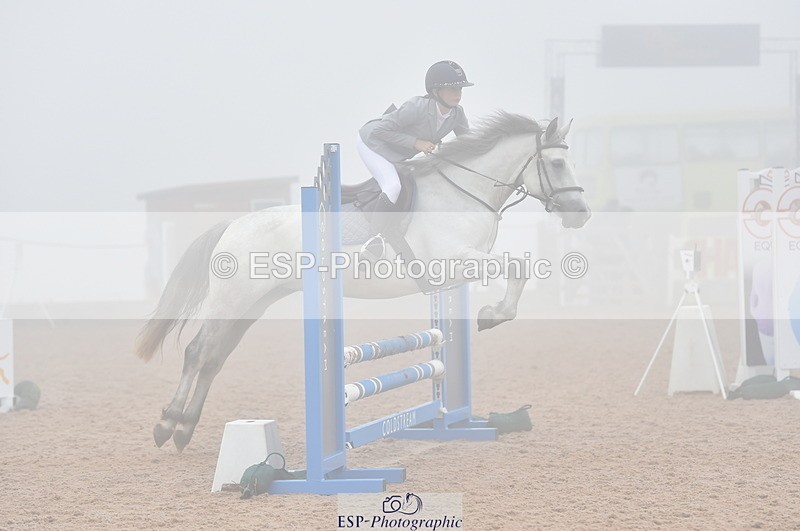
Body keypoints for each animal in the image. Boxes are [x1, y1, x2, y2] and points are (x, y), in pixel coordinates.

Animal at [135, 112, 591, 451]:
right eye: (556, 163)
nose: (580, 214)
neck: (462, 193)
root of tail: (232, 225)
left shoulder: (460, 268)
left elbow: (517, 268)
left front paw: (491, 314)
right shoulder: (454, 261)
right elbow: (517, 268)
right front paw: (492, 315)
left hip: (252, 305)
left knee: (214, 358)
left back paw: (183, 429)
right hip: (231, 300)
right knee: (198, 351)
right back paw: (167, 426)